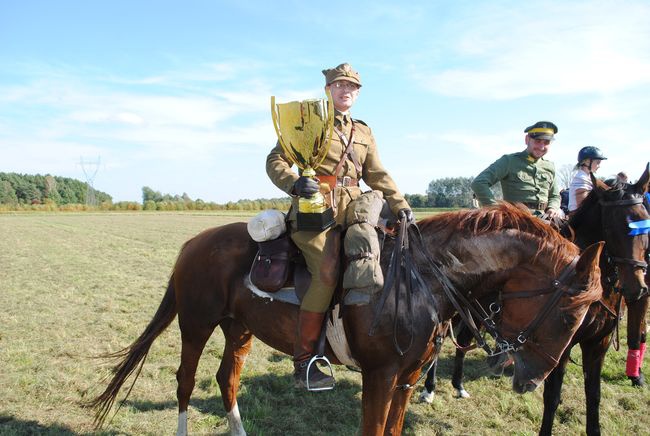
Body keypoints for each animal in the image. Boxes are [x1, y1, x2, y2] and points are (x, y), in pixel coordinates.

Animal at [87, 204, 604, 436]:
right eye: (568, 316)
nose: (532, 381)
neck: (420, 280)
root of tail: (194, 243)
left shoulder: (407, 378)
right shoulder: (380, 376)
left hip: (240, 329)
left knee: (226, 379)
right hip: (195, 325)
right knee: (185, 381)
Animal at [418, 164, 644, 436]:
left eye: (645, 223)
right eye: (617, 225)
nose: (638, 287)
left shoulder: (598, 344)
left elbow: (594, 395)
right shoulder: (560, 347)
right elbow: (552, 397)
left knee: (462, 341)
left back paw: (459, 385)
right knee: (441, 343)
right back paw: (429, 389)